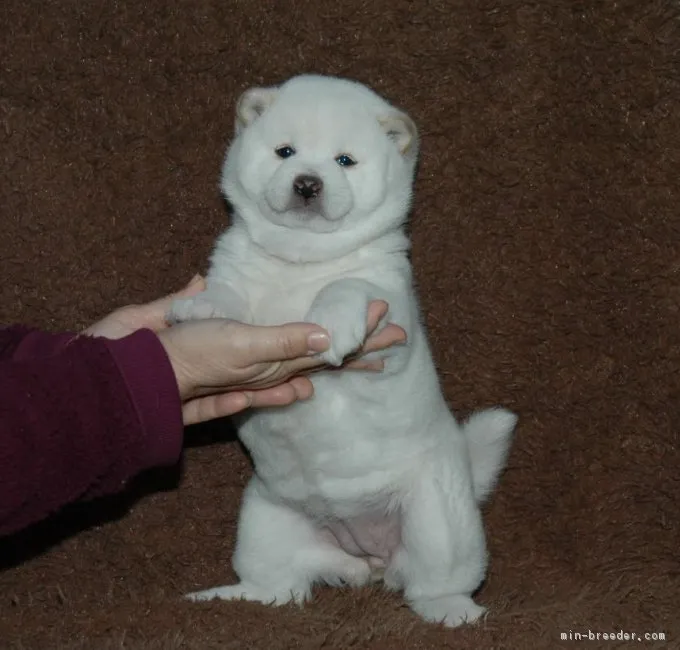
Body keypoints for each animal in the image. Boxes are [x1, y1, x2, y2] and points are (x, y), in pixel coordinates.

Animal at [170, 73, 516, 624]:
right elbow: (227, 293)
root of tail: (368, 556)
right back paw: (225, 597)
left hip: (438, 519)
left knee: (436, 582)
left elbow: (348, 285)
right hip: (263, 522)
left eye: (345, 160)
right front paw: (201, 307)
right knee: (277, 587)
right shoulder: (237, 274)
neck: (300, 259)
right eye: (285, 151)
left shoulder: (389, 314)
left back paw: (455, 611)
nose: (307, 182)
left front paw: (330, 321)